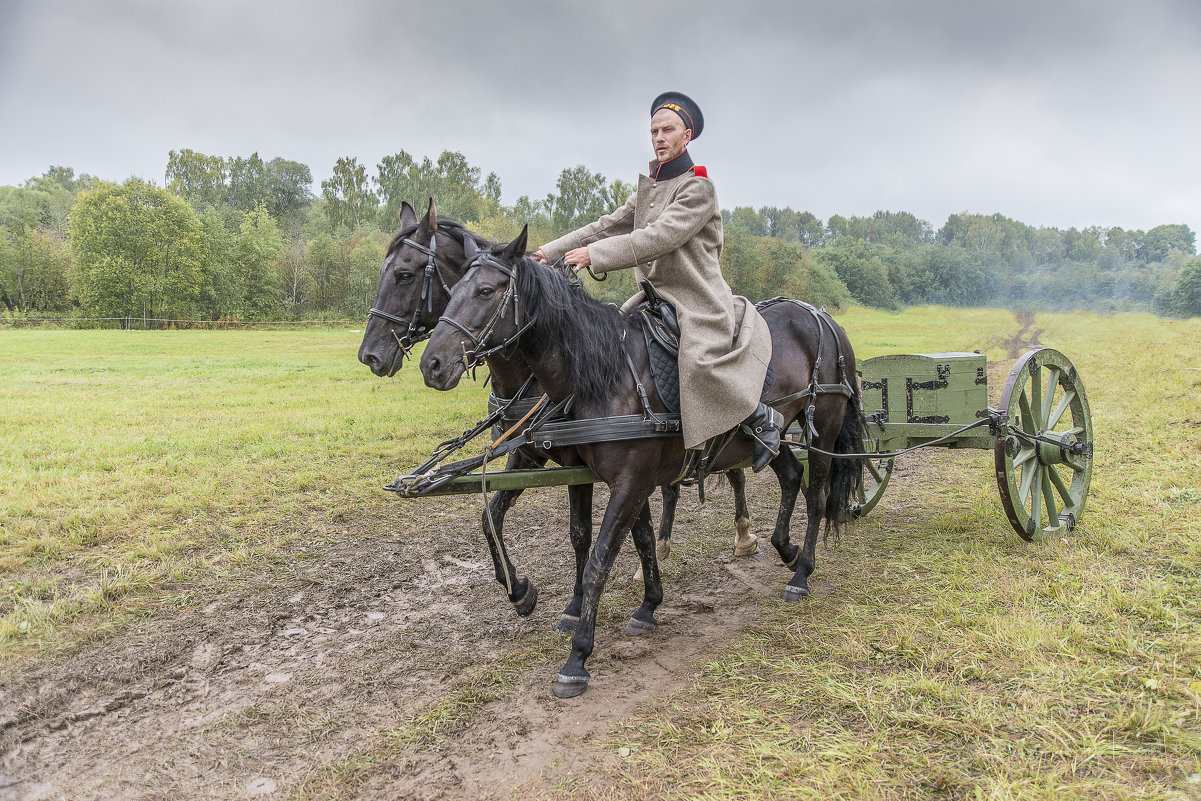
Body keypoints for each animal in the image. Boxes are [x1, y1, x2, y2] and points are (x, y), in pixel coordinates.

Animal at [355, 200, 749, 624]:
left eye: (404, 274)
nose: (370, 355)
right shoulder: (530, 455)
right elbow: (495, 518)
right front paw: (522, 592)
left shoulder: (586, 463)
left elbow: (594, 533)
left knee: (735, 469)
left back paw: (745, 534)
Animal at [422, 230, 864, 696]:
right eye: (452, 289)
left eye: (486, 291)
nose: (432, 364)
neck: (605, 374)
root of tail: (821, 316)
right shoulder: (596, 473)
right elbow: (630, 539)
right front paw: (643, 607)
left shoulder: (631, 481)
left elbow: (599, 559)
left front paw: (577, 658)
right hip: (765, 442)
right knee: (792, 476)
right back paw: (786, 549)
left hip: (825, 430)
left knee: (816, 498)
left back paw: (801, 574)